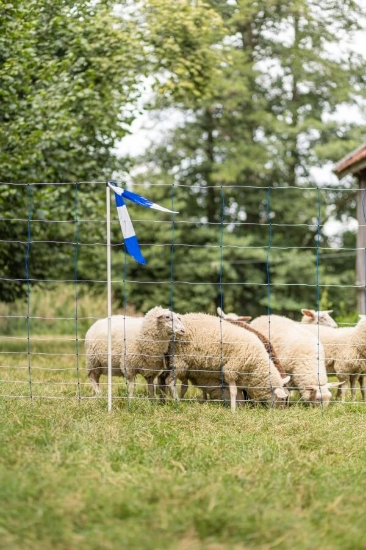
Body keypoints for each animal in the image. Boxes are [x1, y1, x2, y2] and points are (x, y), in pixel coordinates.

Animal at [162, 314, 290, 410]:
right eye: (283, 399)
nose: (280, 411)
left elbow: (237, 393)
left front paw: (240, 406)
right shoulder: (231, 370)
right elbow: (234, 392)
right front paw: (234, 409)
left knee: (176, 383)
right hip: (179, 359)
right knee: (170, 381)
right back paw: (177, 401)